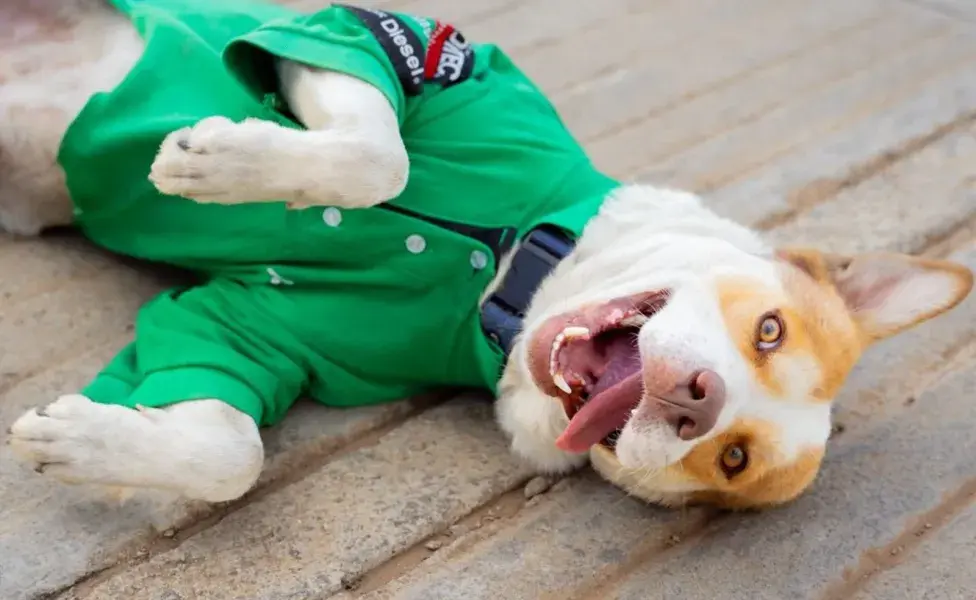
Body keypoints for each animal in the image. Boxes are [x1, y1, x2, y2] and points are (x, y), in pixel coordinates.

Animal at [5, 2, 976, 512]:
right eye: (769, 331)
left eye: (729, 460)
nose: (697, 401)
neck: (503, 275)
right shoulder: (389, 45)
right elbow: (380, 156)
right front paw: (222, 164)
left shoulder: (252, 328)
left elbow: (227, 448)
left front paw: (85, 440)